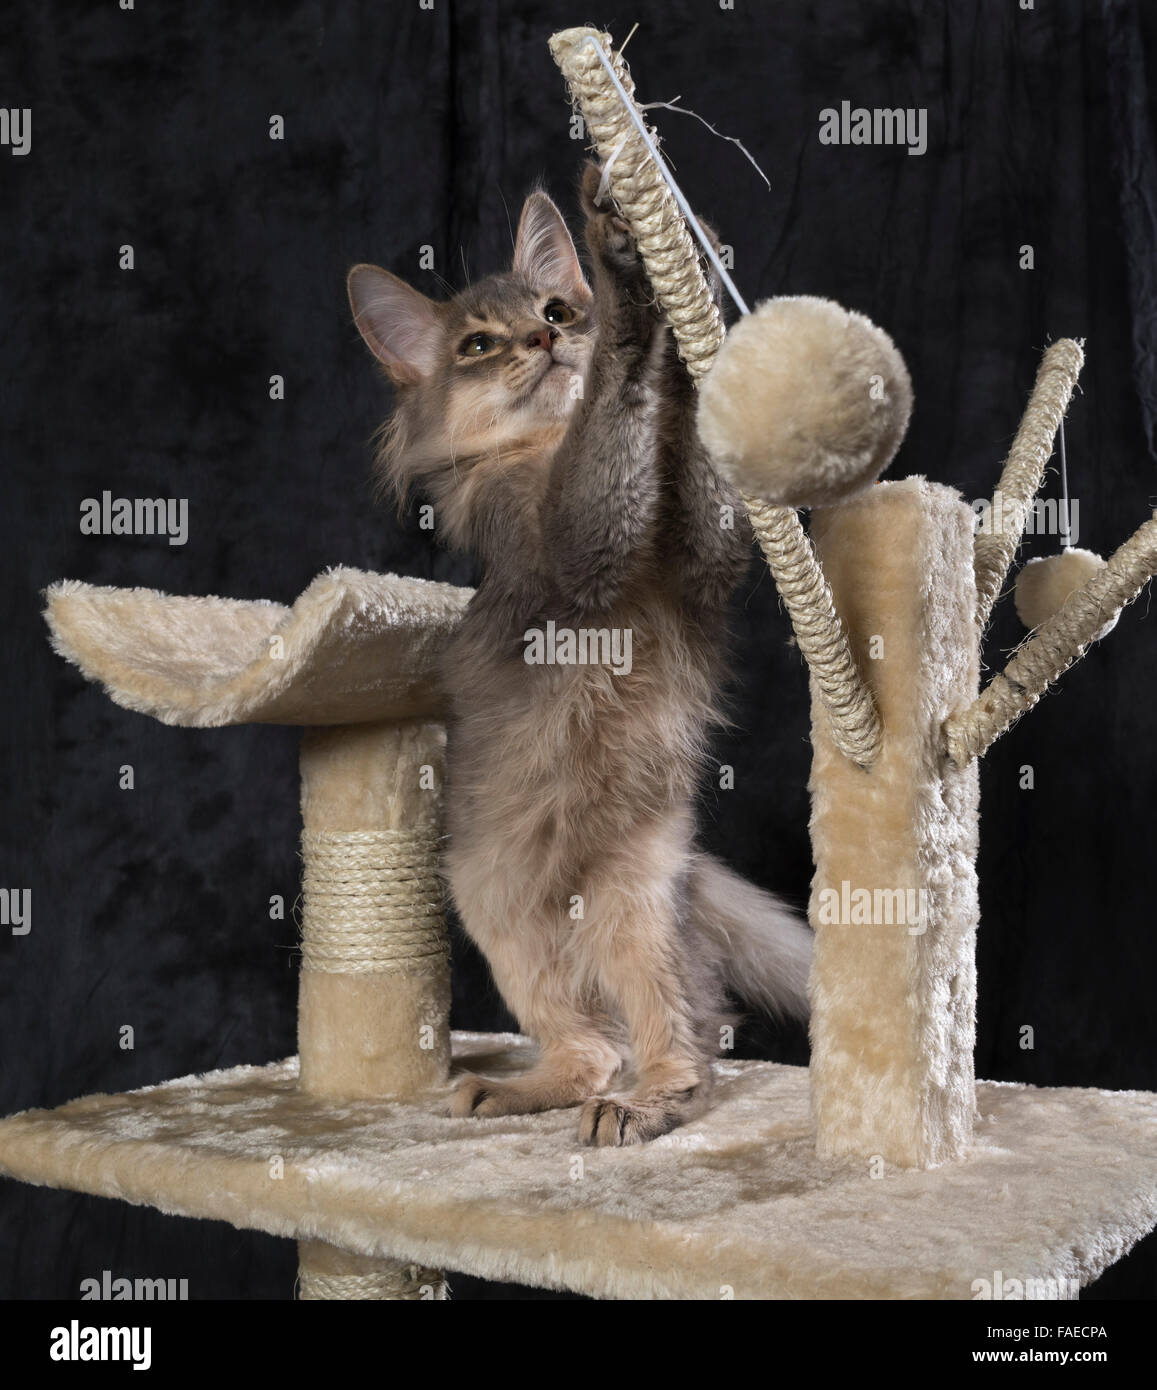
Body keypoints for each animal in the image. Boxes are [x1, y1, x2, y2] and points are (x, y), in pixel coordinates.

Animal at [347, 162, 806, 1145]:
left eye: (555, 309)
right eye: (479, 344)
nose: (542, 339)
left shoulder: (703, 556)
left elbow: (684, 427)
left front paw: (679, 263)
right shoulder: (572, 540)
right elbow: (617, 399)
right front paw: (631, 281)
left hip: (637, 903)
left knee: (680, 1038)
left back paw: (637, 1108)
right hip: (495, 908)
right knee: (592, 1045)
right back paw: (521, 1092)